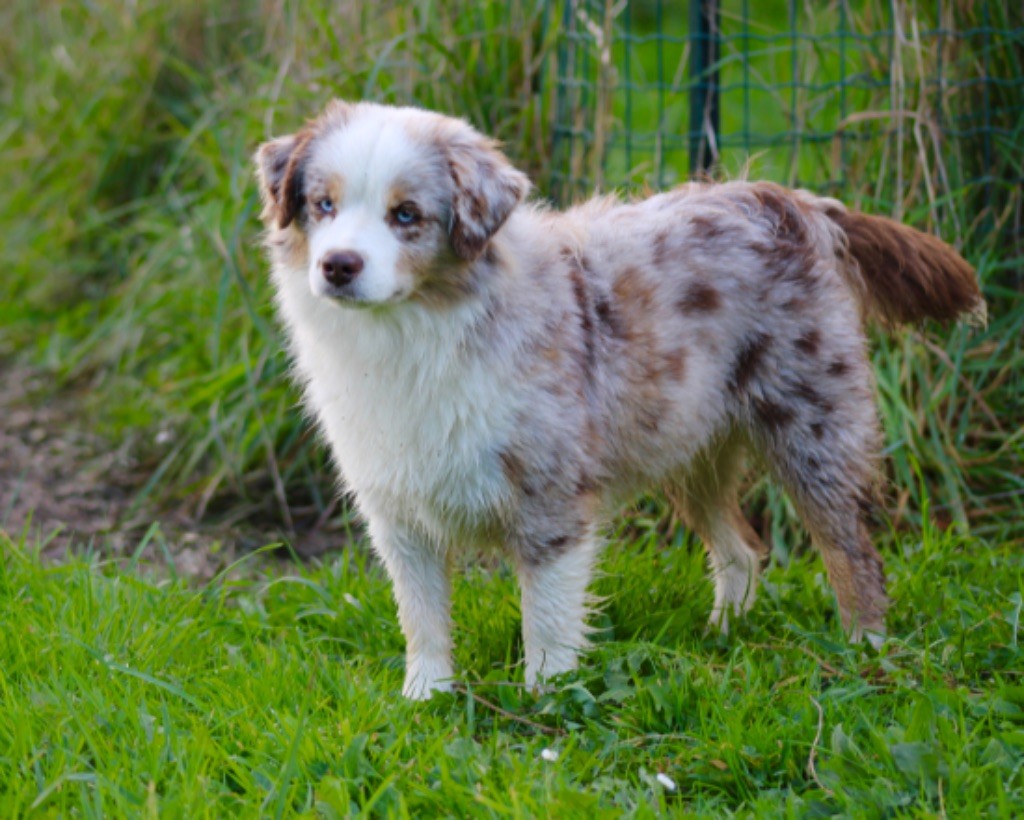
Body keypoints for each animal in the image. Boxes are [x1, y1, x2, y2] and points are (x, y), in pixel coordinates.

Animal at [256, 100, 983, 696]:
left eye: (406, 215)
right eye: (323, 205)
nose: (338, 266)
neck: (412, 336)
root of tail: (788, 200)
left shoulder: (550, 501)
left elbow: (547, 621)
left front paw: (546, 705)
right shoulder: (399, 513)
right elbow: (423, 620)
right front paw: (423, 701)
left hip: (812, 428)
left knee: (852, 551)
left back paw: (864, 648)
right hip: (686, 447)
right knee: (742, 549)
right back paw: (722, 635)